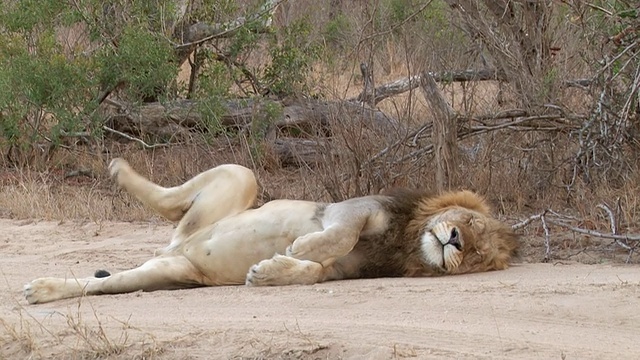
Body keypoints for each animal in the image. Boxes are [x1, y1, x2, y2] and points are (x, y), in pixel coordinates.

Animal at [23, 158, 520, 304]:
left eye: (476, 253)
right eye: (470, 224)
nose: (455, 241)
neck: (406, 245)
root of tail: (179, 245)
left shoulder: (342, 272)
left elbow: (313, 272)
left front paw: (268, 271)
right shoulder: (353, 207)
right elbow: (336, 235)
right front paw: (300, 246)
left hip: (166, 272)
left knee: (102, 284)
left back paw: (45, 289)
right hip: (242, 177)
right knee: (166, 198)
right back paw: (119, 170)